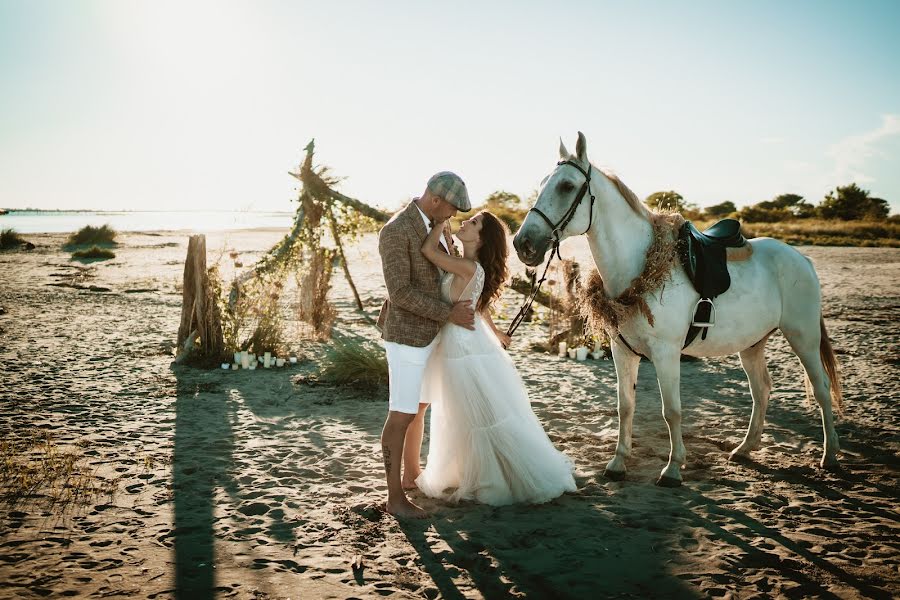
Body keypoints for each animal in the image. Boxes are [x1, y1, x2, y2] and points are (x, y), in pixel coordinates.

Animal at [512, 132, 844, 488]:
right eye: (544, 183)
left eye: (566, 186)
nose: (523, 243)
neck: (639, 267)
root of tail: (801, 258)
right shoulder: (622, 351)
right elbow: (624, 406)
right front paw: (618, 463)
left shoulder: (666, 353)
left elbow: (671, 410)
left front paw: (672, 469)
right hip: (752, 344)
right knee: (761, 390)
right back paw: (745, 449)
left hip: (803, 337)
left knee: (821, 389)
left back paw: (830, 457)